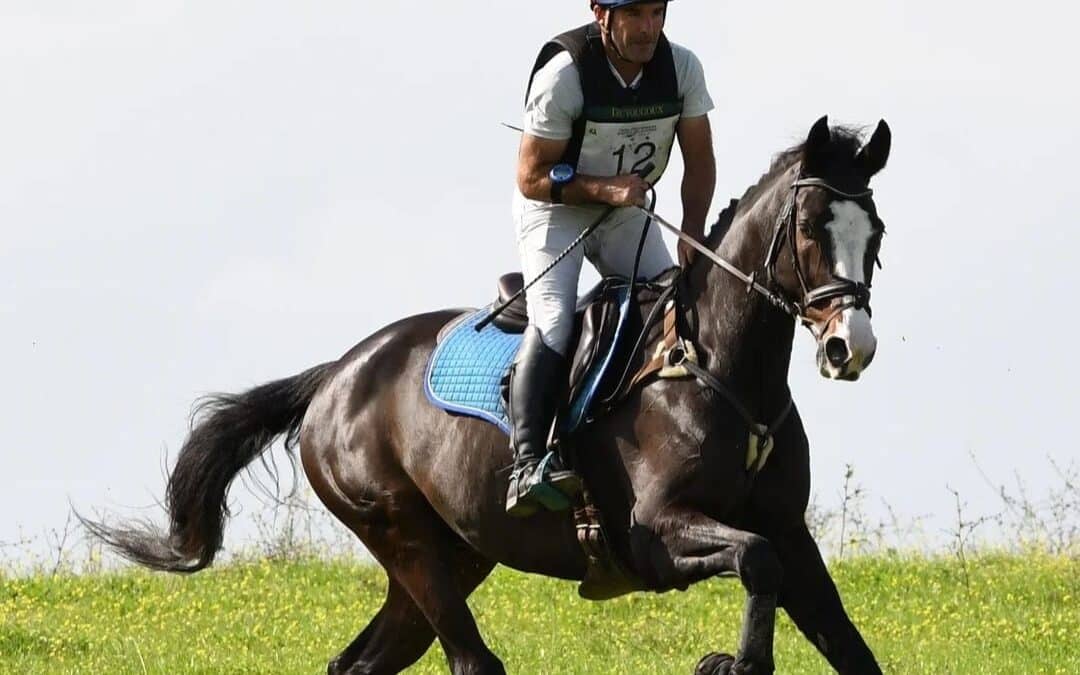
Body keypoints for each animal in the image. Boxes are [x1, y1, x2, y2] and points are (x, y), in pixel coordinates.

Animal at [84, 117, 894, 673]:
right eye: (812, 227)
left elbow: (840, 634)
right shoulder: (658, 532)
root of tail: (337, 375)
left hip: (458, 548)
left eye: (877, 230)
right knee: (470, 660)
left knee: (362, 661)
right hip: (401, 532)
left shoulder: (791, 533)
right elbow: (756, 561)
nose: (849, 346)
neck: (723, 372)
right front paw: (736, 661)